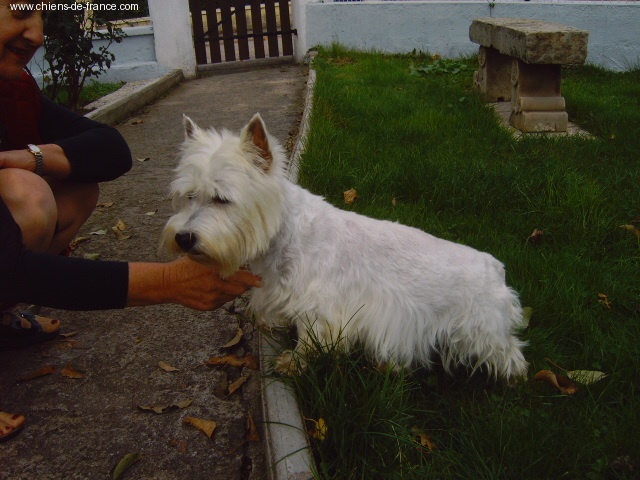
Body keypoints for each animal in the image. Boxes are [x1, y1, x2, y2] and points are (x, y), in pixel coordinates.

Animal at [162, 114, 528, 380]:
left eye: (222, 199)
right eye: (189, 195)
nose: (184, 238)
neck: (285, 235)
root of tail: (495, 268)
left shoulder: (322, 309)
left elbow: (309, 339)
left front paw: (292, 363)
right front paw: (270, 324)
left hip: (479, 327)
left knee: (508, 351)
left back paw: (513, 377)